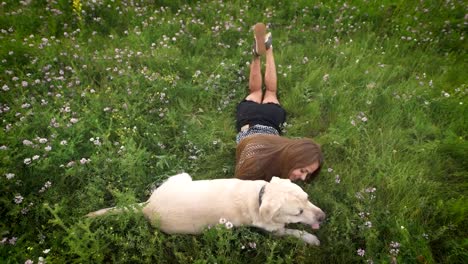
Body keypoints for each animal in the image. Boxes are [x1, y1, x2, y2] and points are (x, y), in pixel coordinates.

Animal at [86, 173, 326, 245]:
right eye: (298, 212)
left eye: (308, 198)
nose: (323, 217)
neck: (259, 196)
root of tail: (147, 207)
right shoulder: (274, 231)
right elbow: (292, 231)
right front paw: (311, 238)